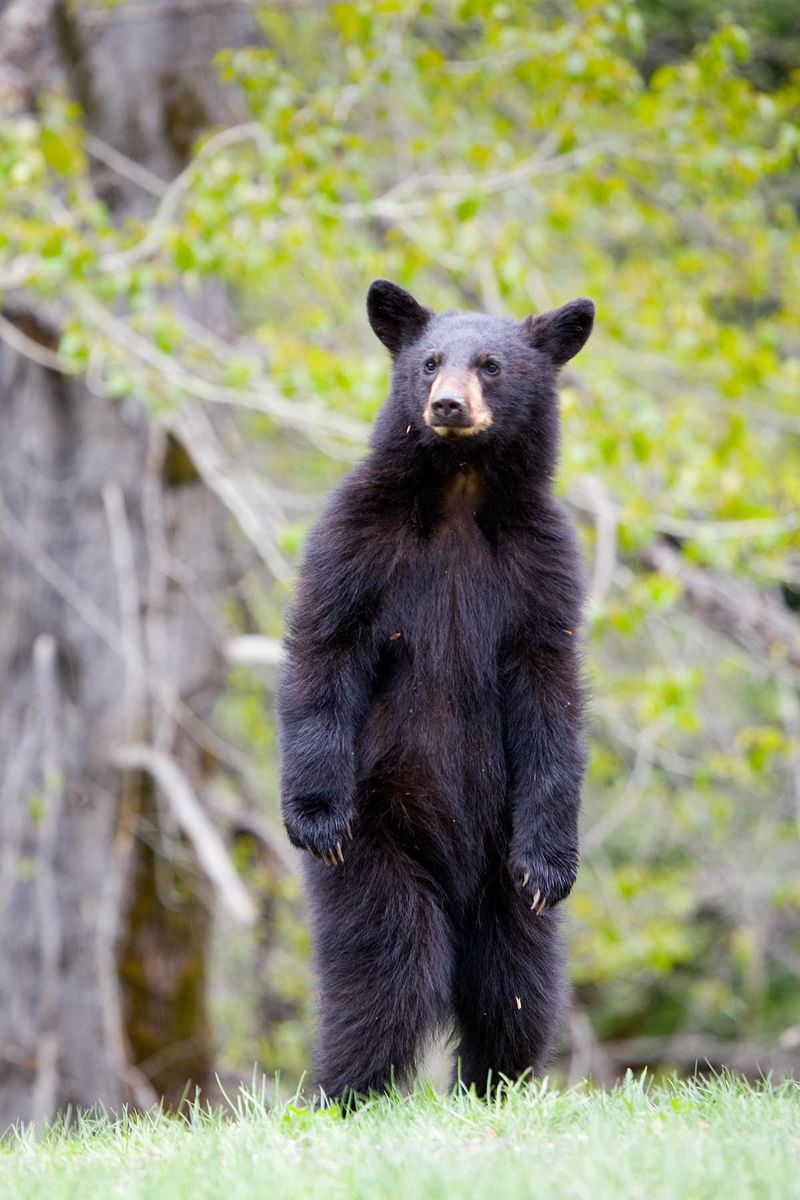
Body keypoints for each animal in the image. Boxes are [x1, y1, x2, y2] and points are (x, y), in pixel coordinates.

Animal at [277, 279, 594, 1101]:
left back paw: (497, 1083)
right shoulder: (355, 539)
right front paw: (314, 815)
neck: (458, 490)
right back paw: (347, 1088)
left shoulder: (541, 566)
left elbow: (550, 692)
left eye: (490, 364)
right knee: (390, 962)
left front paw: (553, 864)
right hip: (383, 825)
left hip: (498, 853)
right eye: (428, 363)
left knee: (514, 979)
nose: (447, 405)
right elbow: (326, 648)